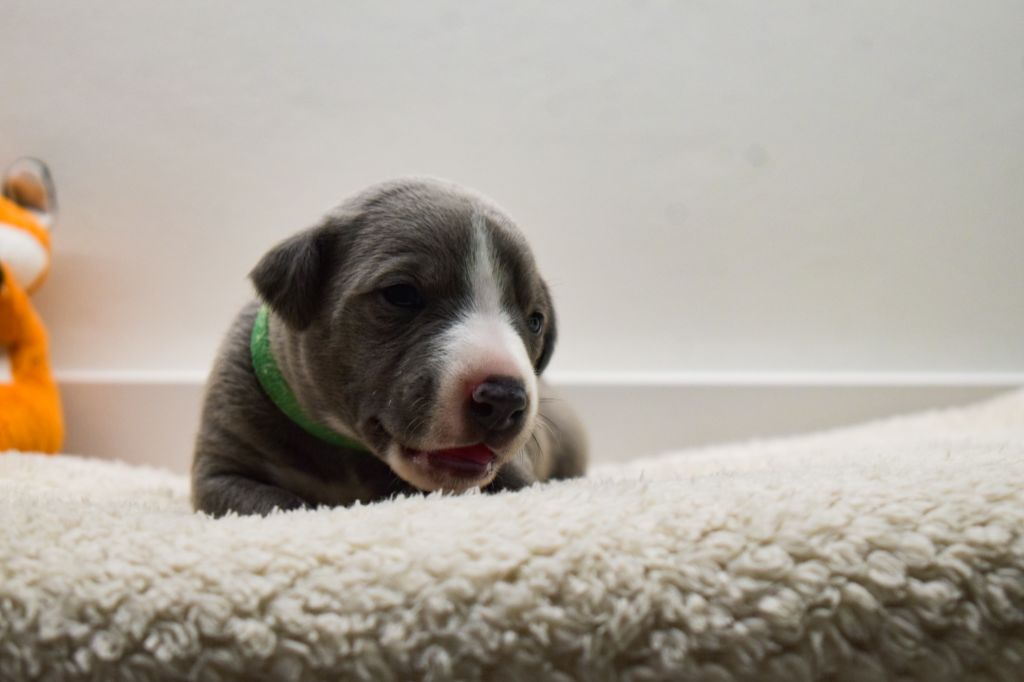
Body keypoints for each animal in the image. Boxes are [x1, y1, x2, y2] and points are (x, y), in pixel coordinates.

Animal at [192, 179, 587, 516]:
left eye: (535, 321)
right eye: (401, 294)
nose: (505, 398)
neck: (346, 451)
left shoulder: (514, 470)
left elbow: (517, 485)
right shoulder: (218, 473)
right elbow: (278, 504)